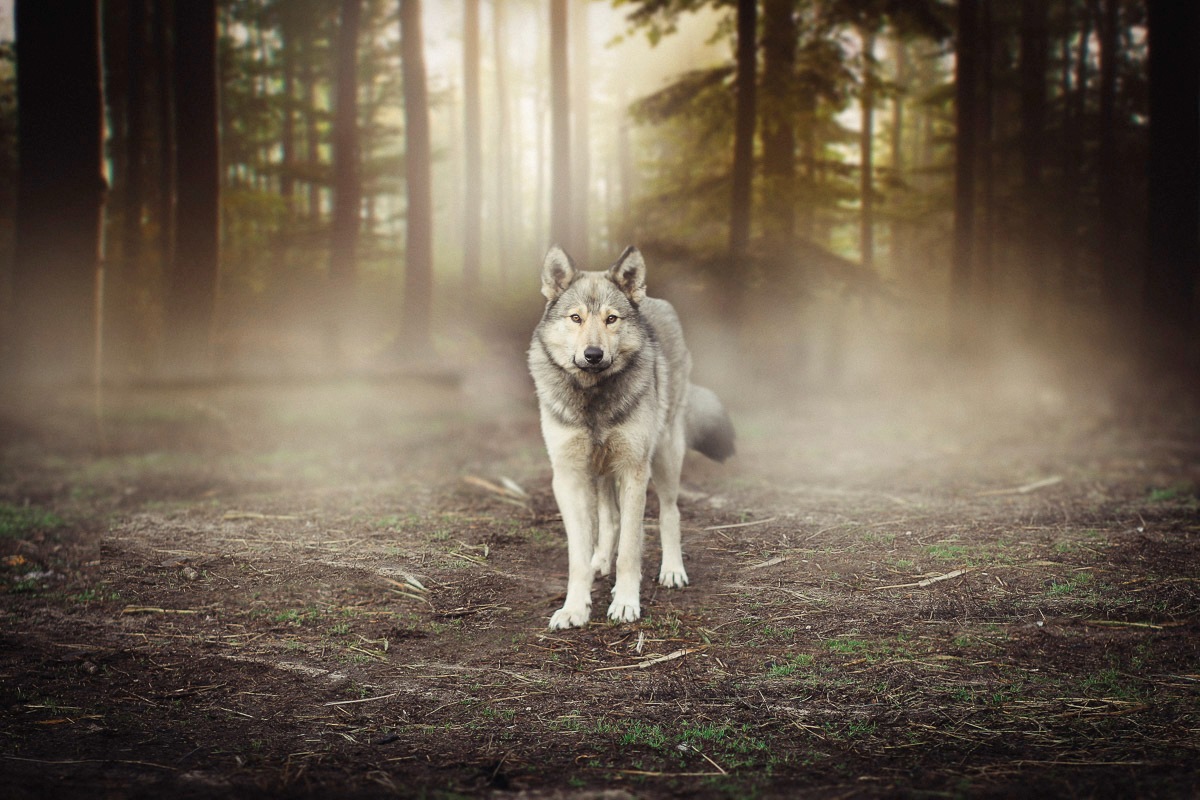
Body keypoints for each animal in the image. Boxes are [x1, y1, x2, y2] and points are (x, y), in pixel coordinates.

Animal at [528, 245, 735, 629]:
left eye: (611, 319)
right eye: (576, 318)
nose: (593, 354)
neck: (594, 398)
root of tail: (655, 299)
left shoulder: (633, 471)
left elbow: (629, 549)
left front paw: (625, 603)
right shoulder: (568, 478)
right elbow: (578, 556)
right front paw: (574, 607)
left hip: (665, 457)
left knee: (670, 513)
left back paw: (672, 570)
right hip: (601, 472)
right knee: (608, 520)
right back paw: (599, 562)